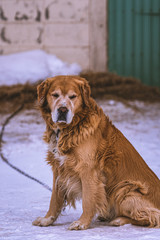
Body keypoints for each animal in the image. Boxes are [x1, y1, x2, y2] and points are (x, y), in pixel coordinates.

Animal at [32, 76, 160, 230]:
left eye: (73, 96)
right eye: (55, 95)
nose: (63, 109)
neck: (68, 129)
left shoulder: (88, 169)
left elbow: (88, 200)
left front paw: (82, 223)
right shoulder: (58, 168)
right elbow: (55, 199)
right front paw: (47, 219)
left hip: (125, 189)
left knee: (151, 217)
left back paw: (119, 220)